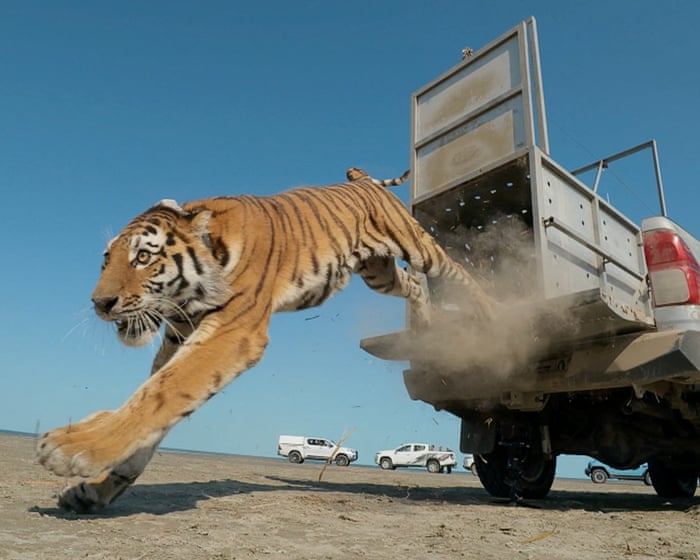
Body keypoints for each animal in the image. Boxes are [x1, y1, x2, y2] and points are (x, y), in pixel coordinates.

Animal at [36, 167, 496, 512]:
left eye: (143, 257)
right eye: (106, 260)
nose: (100, 303)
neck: (189, 295)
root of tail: (362, 179)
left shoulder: (233, 331)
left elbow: (161, 393)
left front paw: (73, 447)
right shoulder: (178, 338)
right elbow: (153, 402)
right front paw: (95, 489)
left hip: (413, 242)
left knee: (453, 271)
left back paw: (490, 314)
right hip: (377, 270)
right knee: (414, 285)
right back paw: (423, 329)